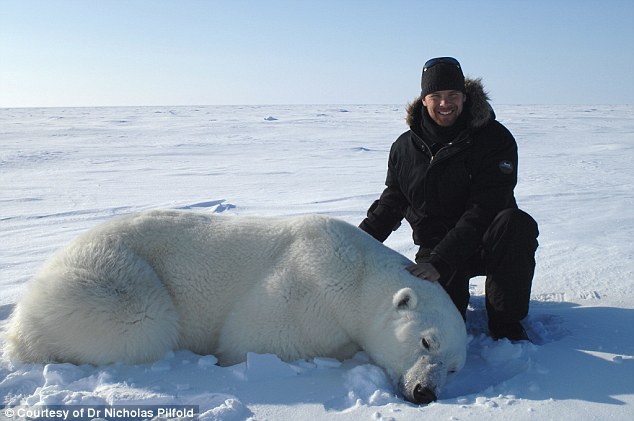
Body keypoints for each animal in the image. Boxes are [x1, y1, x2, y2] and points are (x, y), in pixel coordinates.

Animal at [6, 212, 464, 402]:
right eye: (426, 342)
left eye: (455, 368)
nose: (425, 392)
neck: (359, 274)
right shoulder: (309, 287)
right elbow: (253, 338)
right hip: (111, 279)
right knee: (144, 320)